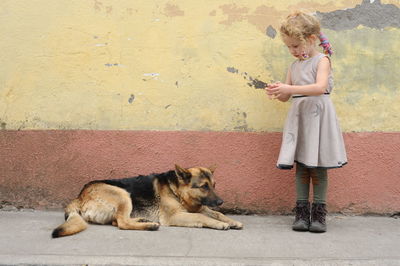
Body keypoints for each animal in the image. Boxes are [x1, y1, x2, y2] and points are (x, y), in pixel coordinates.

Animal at [51, 164, 242, 237]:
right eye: (204, 186)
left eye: (214, 185)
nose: (221, 201)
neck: (176, 190)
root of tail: (79, 196)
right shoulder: (176, 216)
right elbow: (203, 217)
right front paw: (220, 224)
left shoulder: (199, 208)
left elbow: (215, 213)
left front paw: (231, 221)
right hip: (123, 194)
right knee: (121, 223)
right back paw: (149, 226)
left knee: (117, 221)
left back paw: (143, 221)